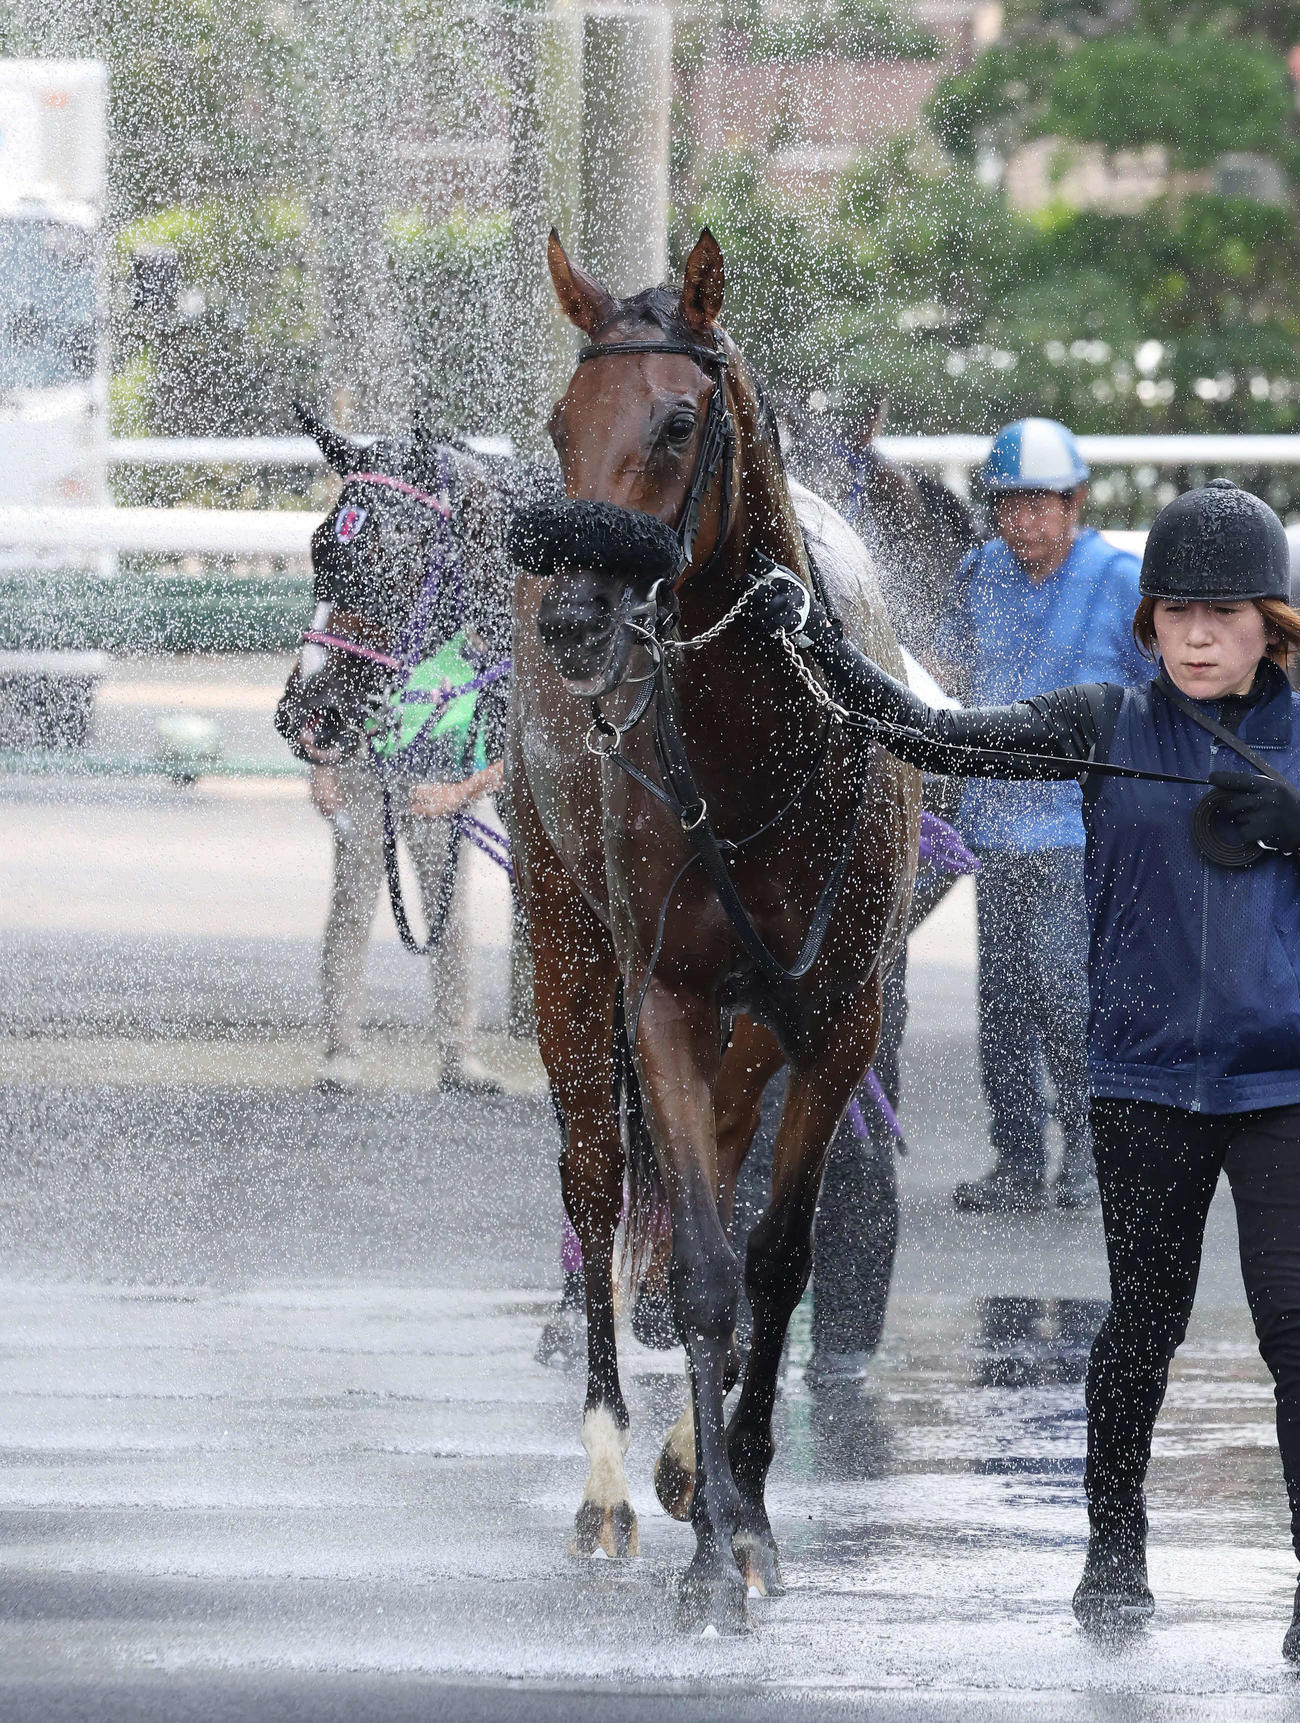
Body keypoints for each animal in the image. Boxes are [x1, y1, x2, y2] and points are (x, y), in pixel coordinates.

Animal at [505, 228, 919, 1631]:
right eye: (560, 423)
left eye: (679, 422)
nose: (574, 618)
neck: (758, 752)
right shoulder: (664, 998)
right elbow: (691, 1261)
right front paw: (712, 1553)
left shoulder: (837, 1015)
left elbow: (774, 1259)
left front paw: (743, 1501)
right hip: (566, 951)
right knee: (592, 1185)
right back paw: (608, 1481)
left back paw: (695, 1462)